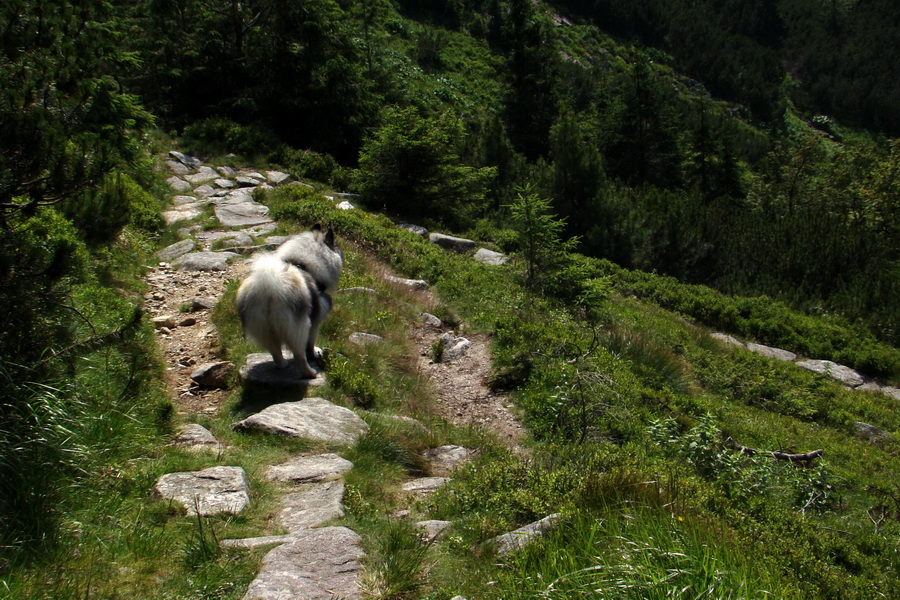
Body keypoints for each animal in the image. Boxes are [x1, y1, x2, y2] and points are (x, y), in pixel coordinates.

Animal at [236, 223, 342, 378]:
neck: (304, 264)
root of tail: (269, 288)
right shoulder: (316, 321)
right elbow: (310, 344)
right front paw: (314, 355)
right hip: (298, 326)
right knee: (299, 355)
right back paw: (310, 373)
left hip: (262, 328)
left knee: (275, 351)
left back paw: (282, 364)